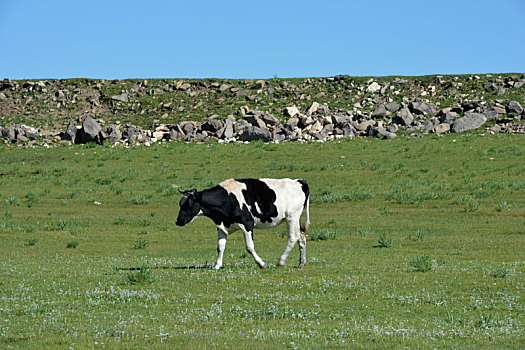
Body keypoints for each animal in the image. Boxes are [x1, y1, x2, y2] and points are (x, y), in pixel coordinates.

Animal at [176, 179, 310, 270]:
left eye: (188, 204)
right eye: (180, 203)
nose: (178, 221)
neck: (227, 198)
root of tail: (299, 181)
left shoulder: (247, 224)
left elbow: (249, 247)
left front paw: (261, 264)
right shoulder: (221, 227)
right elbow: (220, 247)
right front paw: (217, 265)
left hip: (292, 216)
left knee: (293, 237)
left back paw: (281, 262)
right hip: (295, 218)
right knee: (301, 236)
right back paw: (301, 263)